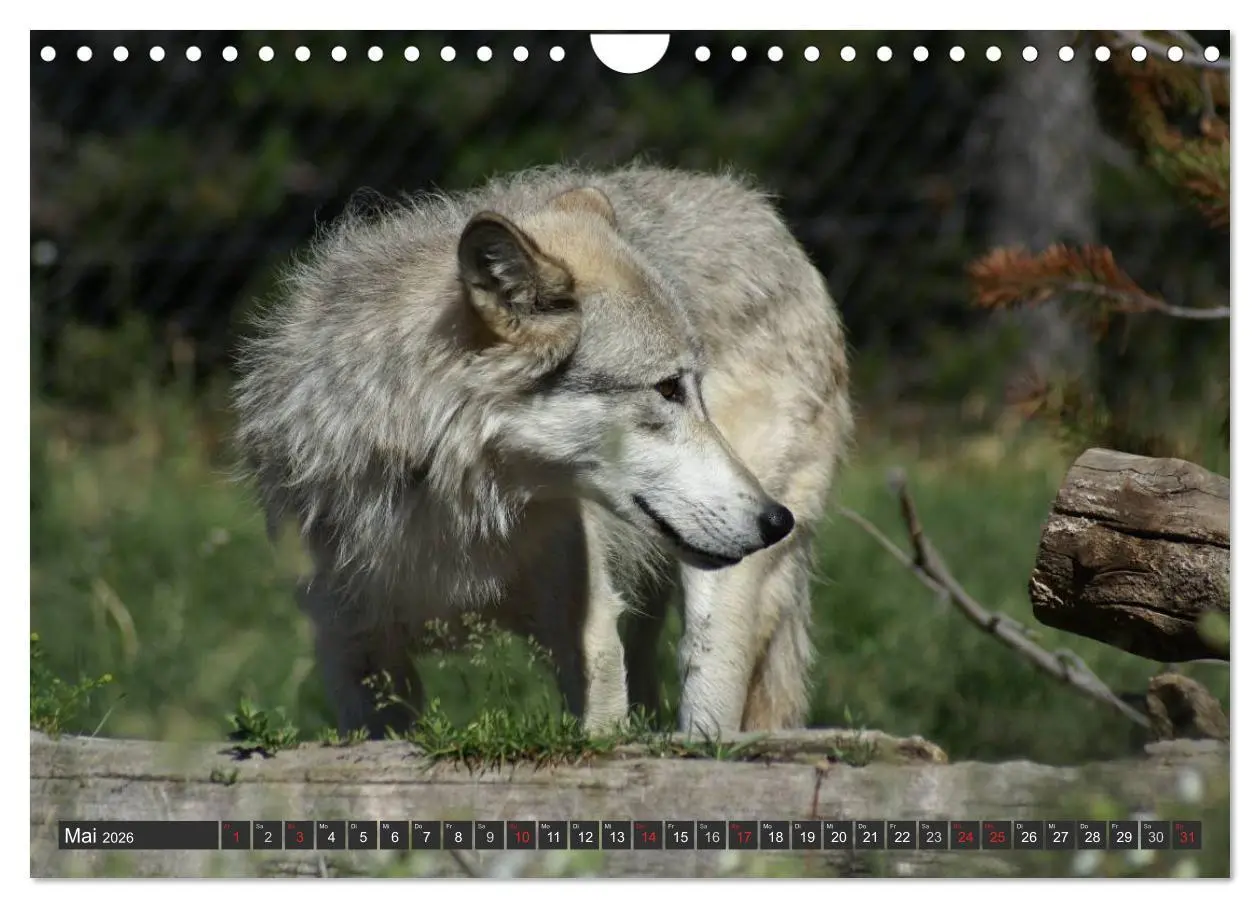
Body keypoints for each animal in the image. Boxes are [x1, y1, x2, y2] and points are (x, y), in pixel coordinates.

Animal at [233, 164, 852, 739]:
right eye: (668, 389)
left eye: (694, 387)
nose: (776, 520)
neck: (450, 502)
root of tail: (762, 211)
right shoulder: (355, 656)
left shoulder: (589, 635)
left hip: (719, 599)